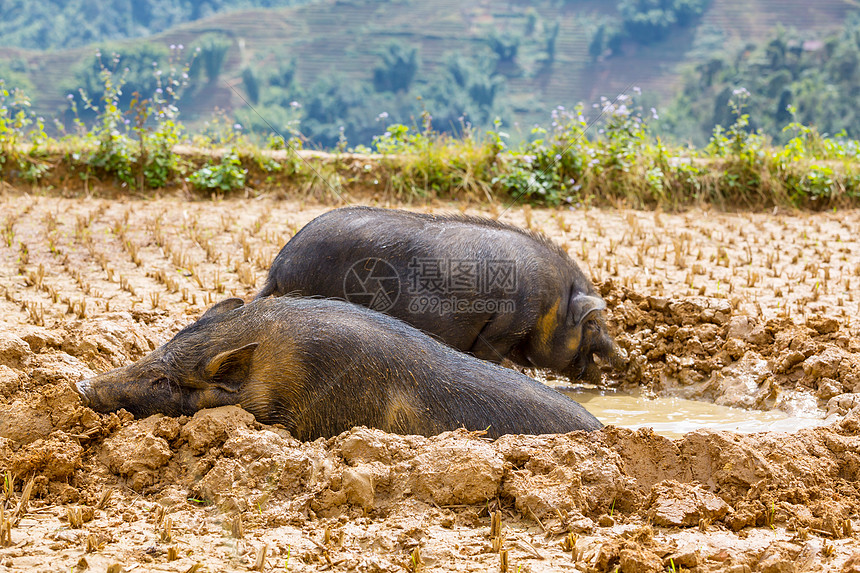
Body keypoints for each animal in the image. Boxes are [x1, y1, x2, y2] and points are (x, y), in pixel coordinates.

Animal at [255, 206, 624, 384]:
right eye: (593, 325)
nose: (626, 356)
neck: (551, 301)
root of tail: (279, 266)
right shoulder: (502, 329)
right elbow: (489, 357)